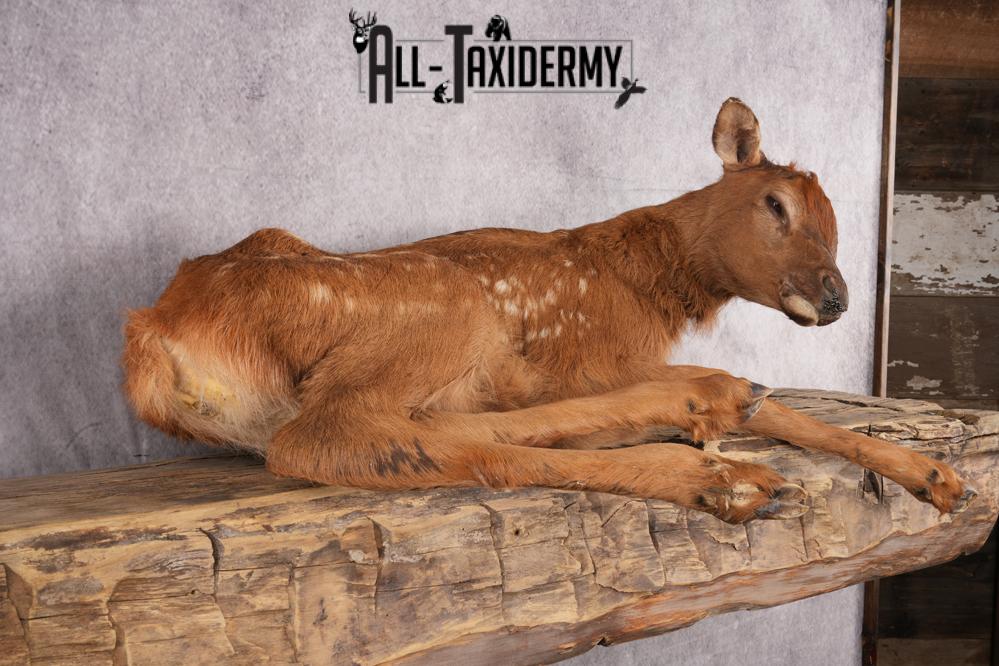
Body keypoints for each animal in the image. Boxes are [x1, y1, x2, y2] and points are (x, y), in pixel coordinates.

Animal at [122, 98, 977, 525]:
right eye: (774, 203)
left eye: (834, 218)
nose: (834, 298)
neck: (650, 285)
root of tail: (153, 338)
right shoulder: (587, 357)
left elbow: (791, 410)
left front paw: (938, 478)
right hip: (444, 307)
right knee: (337, 439)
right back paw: (714, 451)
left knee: (430, 432)